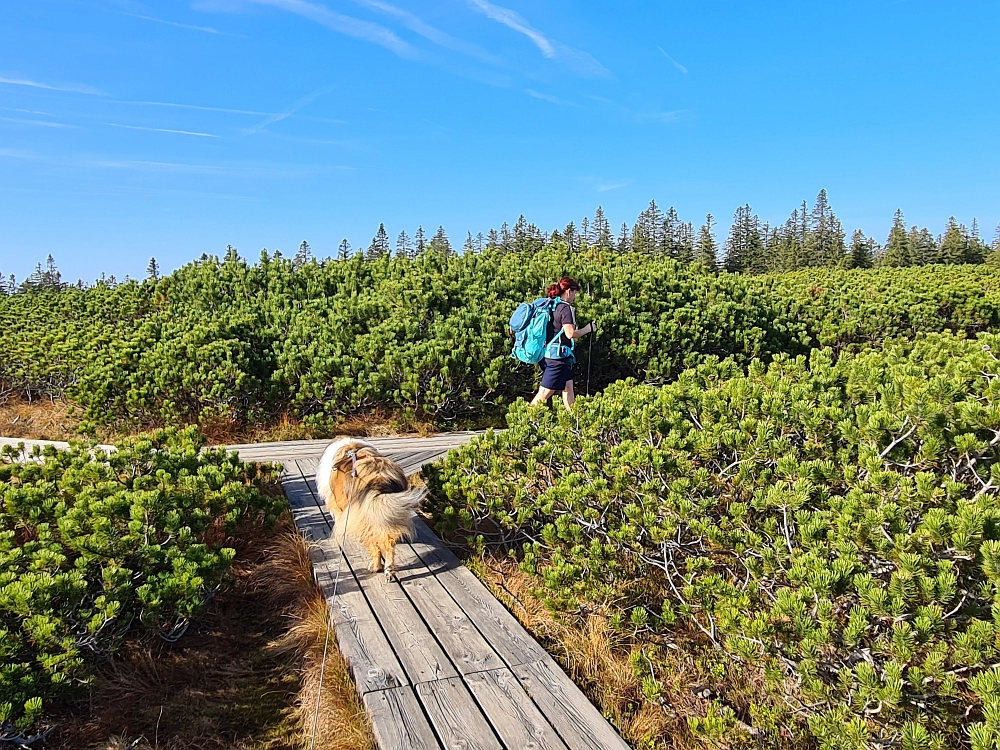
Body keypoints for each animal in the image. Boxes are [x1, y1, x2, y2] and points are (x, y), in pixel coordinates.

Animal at [312, 440, 422, 580]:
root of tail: (378, 478)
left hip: (364, 520)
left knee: (375, 546)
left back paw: (375, 566)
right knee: (389, 543)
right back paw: (389, 571)